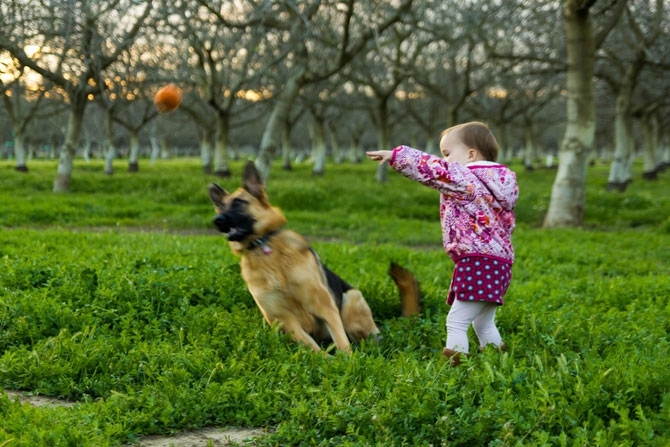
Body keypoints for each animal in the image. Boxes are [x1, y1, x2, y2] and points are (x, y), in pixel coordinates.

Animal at [207, 161, 422, 354]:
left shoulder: (324, 306)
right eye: (220, 208)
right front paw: (327, 361)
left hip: (351, 300)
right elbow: (313, 348)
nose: (217, 221)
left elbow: (342, 343)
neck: (264, 248)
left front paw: (347, 363)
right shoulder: (284, 320)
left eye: (239, 204)